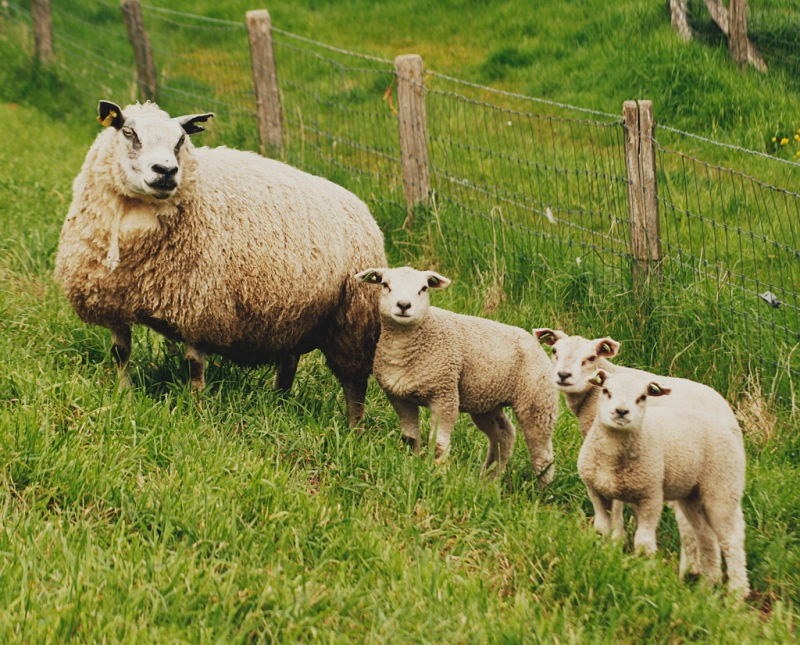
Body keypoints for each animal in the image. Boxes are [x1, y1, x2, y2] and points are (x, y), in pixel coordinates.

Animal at [54, 99, 386, 428]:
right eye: (128, 132)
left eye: (181, 140)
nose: (166, 171)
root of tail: (363, 209)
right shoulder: (112, 300)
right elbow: (120, 353)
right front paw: (124, 394)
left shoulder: (199, 307)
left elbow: (194, 366)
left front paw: (195, 407)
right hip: (295, 317)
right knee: (289, 362)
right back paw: (279, 401)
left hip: (353, 319)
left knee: (354, 382)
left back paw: (354, 428)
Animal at [356, 264, 556, 480]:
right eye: (385, 285)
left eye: (423, 288)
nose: (403, 305)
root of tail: (534, 340)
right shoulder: (400, 398)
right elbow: (409, 438)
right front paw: (411, 463)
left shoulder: (445, 394)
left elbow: (438, 443)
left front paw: (438, 472)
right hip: (486, 401)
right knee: (504, 435)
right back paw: (489, 478)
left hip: (538, 401)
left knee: (542, 452)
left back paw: (542, 485)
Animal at [536, 328, 740, 580]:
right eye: (555, 350)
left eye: (591, 358)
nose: (564, 376)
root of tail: (728, 418)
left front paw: (616, 541)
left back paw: (688, 571)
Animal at [580, 370, 748, 596]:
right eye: (606, 391)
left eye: (642, 397)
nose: (621, 412)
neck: (612, 455)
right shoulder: (597, 491)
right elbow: (602, 529)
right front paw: (604, 556)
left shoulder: (650, 494)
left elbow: (643, 543)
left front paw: (643, 574)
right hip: (692, 496)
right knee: (706, 536)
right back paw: (706, 587)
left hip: (722, 487)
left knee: (731, 540)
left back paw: (737, 594)